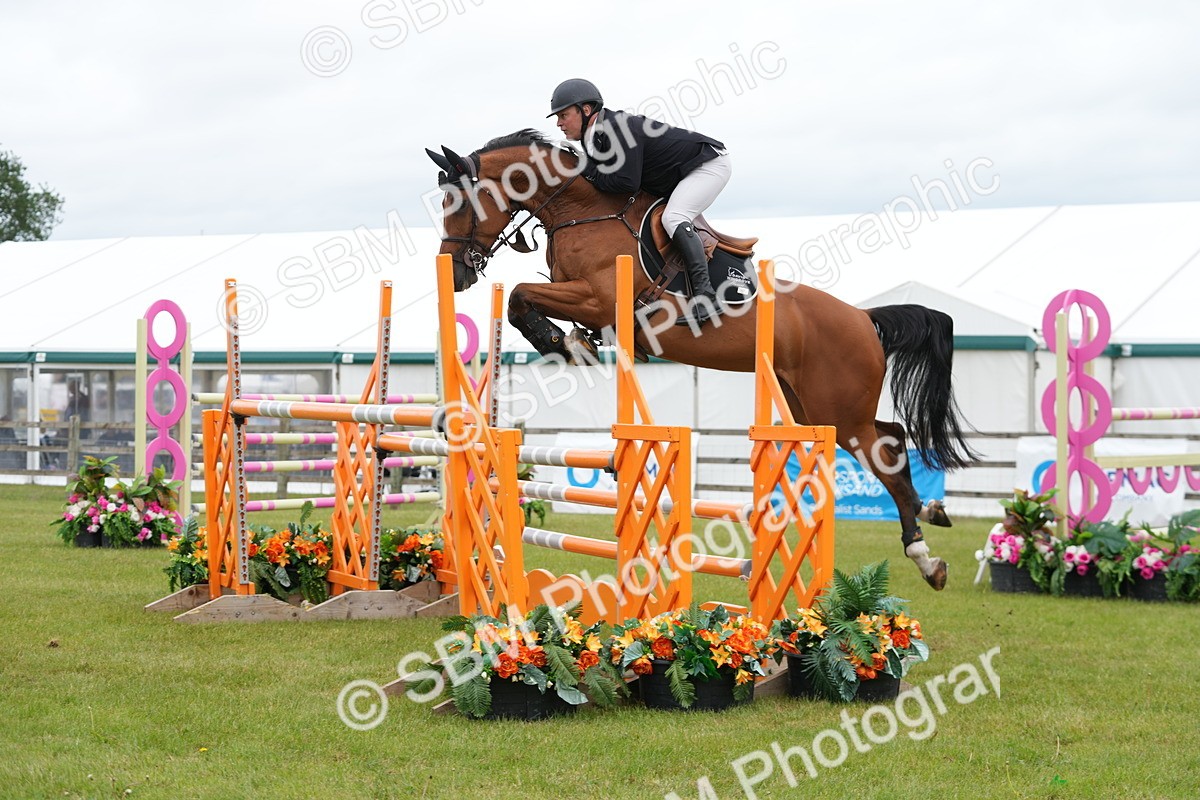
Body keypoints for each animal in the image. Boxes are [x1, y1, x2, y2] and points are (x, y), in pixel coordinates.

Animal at [425, 129, 977, 590]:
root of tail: (864, 318)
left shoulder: (599, 299)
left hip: (837, 409)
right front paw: (567, 343)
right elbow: (521, 300)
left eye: (459, 201)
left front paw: (562, 343)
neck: (582, 211)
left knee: (889, 452)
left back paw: (926, 556)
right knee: (891, 438)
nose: (457, 274)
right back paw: (931, 518)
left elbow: (521, 294)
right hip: (813, 407)